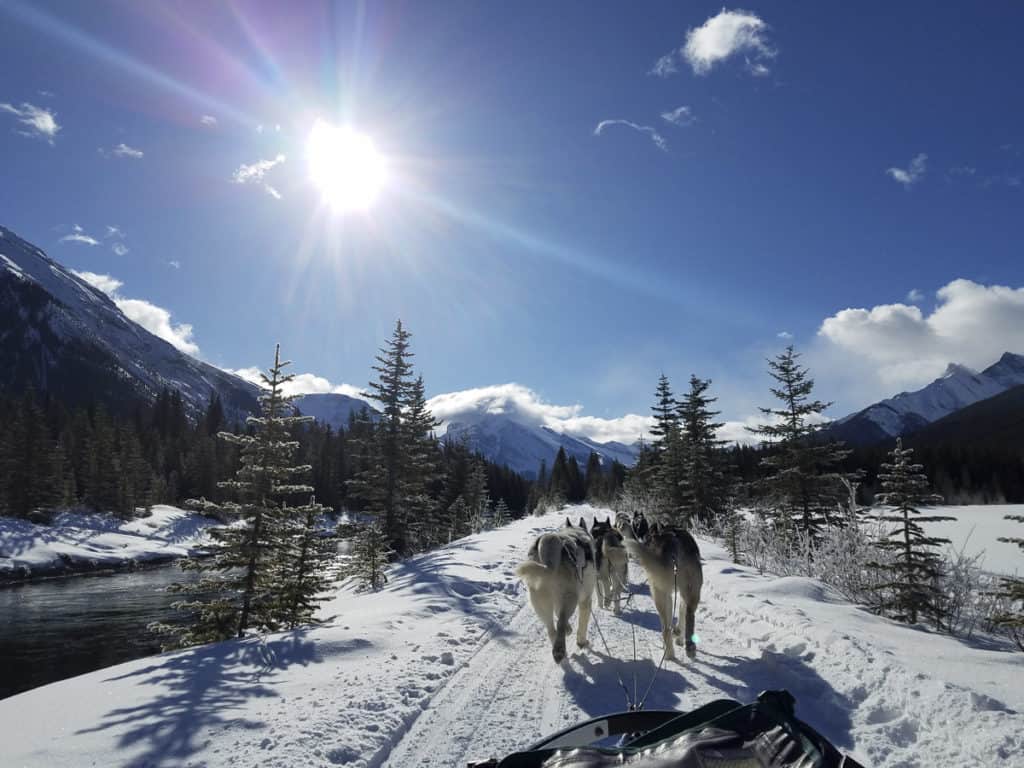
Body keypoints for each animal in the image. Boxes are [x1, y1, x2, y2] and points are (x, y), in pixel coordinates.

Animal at [516, 518, 598, 663]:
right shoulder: (585, 600)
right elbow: (582, 624)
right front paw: (582, 642)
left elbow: (558, 614)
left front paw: (569, 629)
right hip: (571, 598)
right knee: (560, 623)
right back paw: (559, 650)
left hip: (541, 602)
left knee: (551, 628)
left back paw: (559, 643)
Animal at [618, 528, 700, 663]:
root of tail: (675, 544)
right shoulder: (682, 596)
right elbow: (682, 616)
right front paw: (679, 637)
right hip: (692, 591)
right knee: (689, 615)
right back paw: (689, 647)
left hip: (658, 593)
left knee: (666, 629)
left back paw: (669, 653)